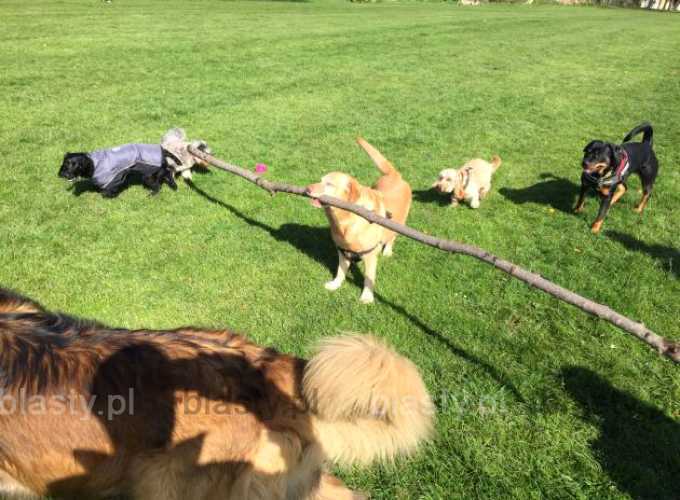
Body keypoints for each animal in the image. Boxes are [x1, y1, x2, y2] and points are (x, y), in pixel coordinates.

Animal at [306, 139, 412, 306]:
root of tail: (395, 175)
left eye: (329, 184)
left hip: (400, 223)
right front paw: (335, 284)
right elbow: (340, 271)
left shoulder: (370, 256)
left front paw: (367, 297)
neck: (346, 220)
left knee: (392, 237)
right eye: (320, 180)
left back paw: (387, 251)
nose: (307, 188)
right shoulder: (342, 251)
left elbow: (369, 279)